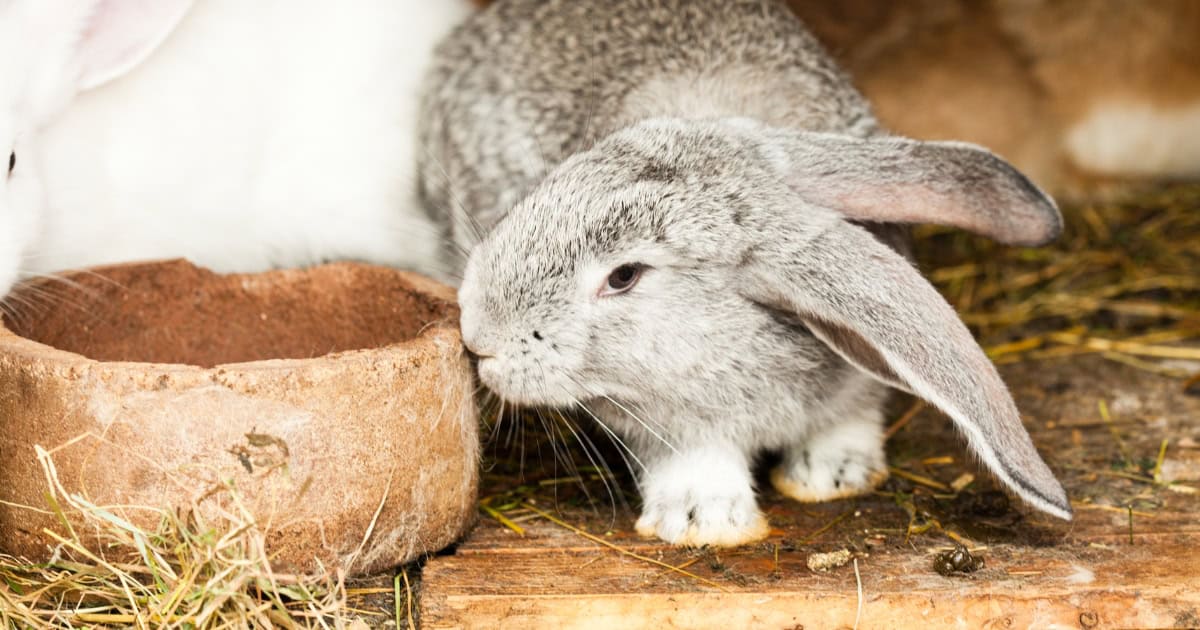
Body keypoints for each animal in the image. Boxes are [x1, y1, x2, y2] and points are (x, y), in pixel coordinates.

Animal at [420, 0, 1072, 547]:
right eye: (553, 182)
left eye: (625, 275)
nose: (478, 332)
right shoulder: (659, 419)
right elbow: (692, 454)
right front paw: (701, 520)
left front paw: (833, 474)